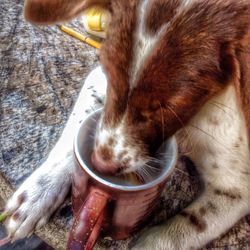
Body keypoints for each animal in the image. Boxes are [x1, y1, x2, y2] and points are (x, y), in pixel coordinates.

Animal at [4, 0, 250, 249]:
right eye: (109, 72)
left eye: (168, 107)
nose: (100, 165)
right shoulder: (99, 80)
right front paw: (38, 193)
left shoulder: (236, 187)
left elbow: (183, 228)